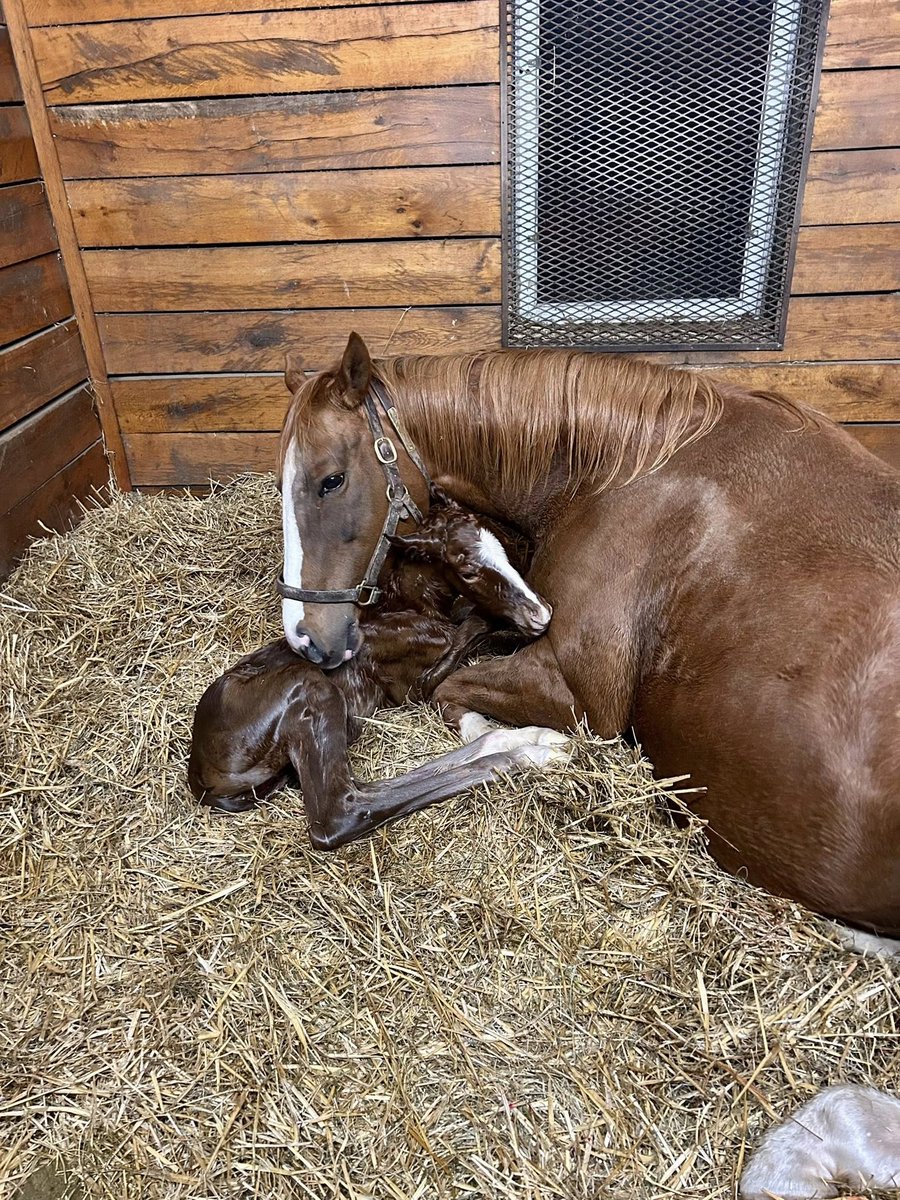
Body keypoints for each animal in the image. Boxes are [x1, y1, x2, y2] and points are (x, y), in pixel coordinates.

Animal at [188, 492, 566, 848]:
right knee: (342, 812)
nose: (541, 614)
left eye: (502, 549)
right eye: (468, 571)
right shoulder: (418, 686)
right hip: (311, 688)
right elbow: (475, 627)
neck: (412, 611)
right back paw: (527, 755)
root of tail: (200, 777)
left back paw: (536, 739)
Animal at [277, 332, 900, 937]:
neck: (619, 477)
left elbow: (449, 689)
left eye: (331, 480)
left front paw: (512, 741)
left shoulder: (577, 694)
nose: (306, 637)